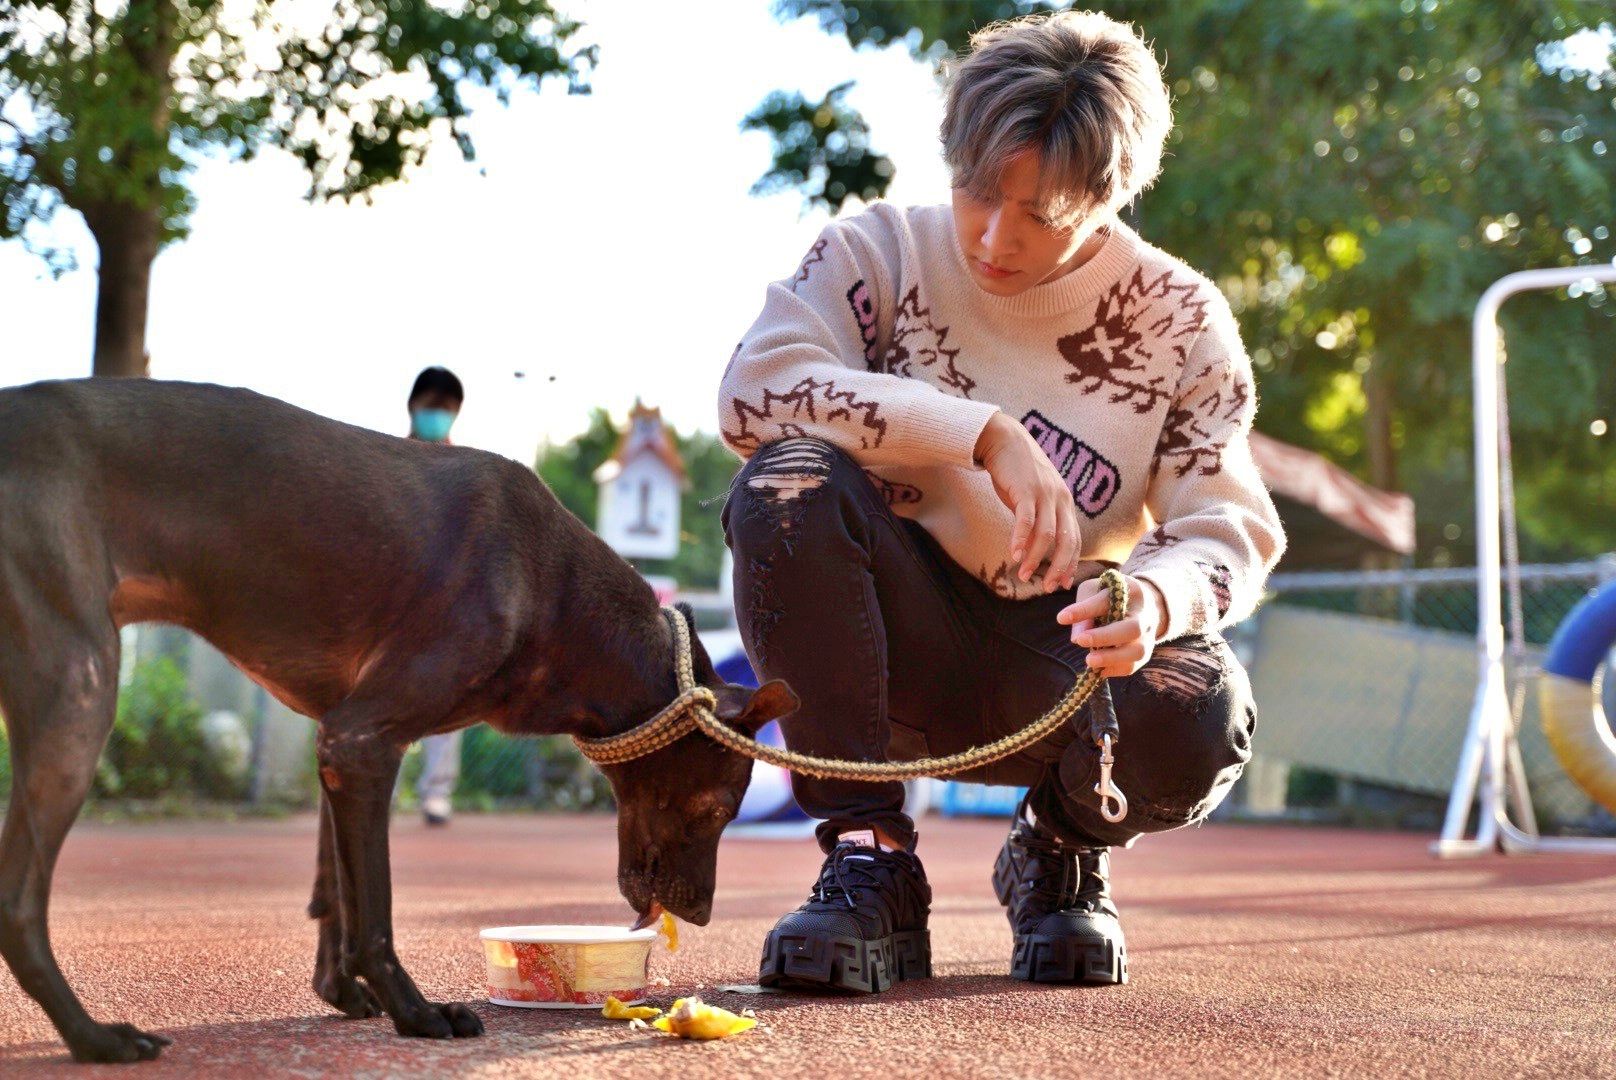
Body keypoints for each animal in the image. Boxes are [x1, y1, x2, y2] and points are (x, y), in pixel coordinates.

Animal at [0, 381, 795, 1060]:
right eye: (717, 809)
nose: (702, 916)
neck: (555, 596)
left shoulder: (341, 742)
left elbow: (334, 893)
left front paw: (344, 993)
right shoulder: (362, 741)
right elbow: (373, 915)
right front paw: (414, 1012)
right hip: (80, 691)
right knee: (18, 905)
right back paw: (93, 1038)